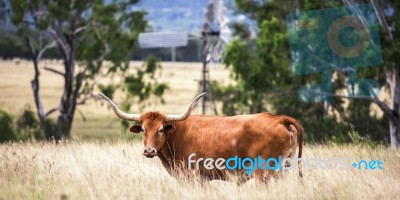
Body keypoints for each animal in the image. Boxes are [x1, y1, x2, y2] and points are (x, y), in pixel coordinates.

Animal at [98, 93, 302, 184]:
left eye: (161, 129)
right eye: (143, 129)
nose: (149, 150)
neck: (177, 135)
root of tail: (278, 118)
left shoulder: (192, 177)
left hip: (264, 173)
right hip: (283, 170)